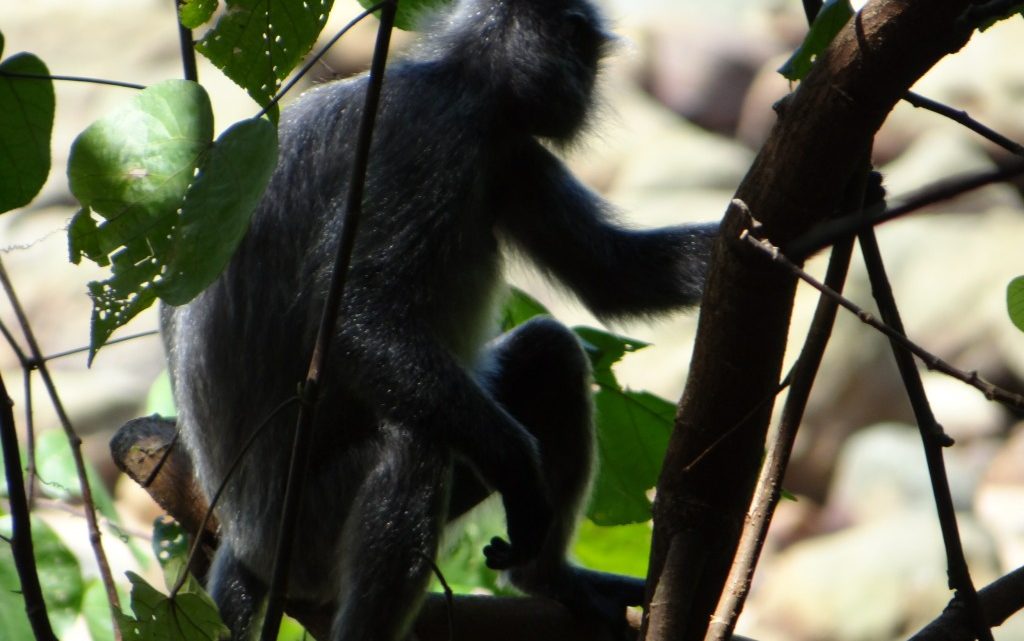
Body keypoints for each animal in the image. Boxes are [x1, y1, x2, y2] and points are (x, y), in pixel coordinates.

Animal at [161, 0, 720, 634]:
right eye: (579, 46)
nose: (586, 86)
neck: (465, 90)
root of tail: (242, 541)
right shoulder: (424, 136)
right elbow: (359, 318)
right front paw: (521, 474)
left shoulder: (511, 154)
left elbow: (615, 274)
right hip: (301, 538)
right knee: (417, 448)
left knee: (550, 356)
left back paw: (548, 579)